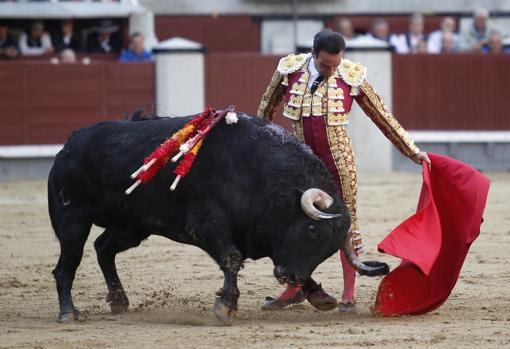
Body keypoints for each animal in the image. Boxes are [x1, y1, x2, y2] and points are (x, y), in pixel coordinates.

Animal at [47, 112, 388, 324]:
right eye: (313, 230)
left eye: (328, 249)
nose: (290, 276)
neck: (261, 177)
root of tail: (72, 142)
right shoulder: (206, 226)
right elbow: (232, 259)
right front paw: (226, 306)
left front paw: (318, 294)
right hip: (72, 219)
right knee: (67, 265)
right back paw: (68, 312)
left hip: (130, 226)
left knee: (103, 249)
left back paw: (119, 301)